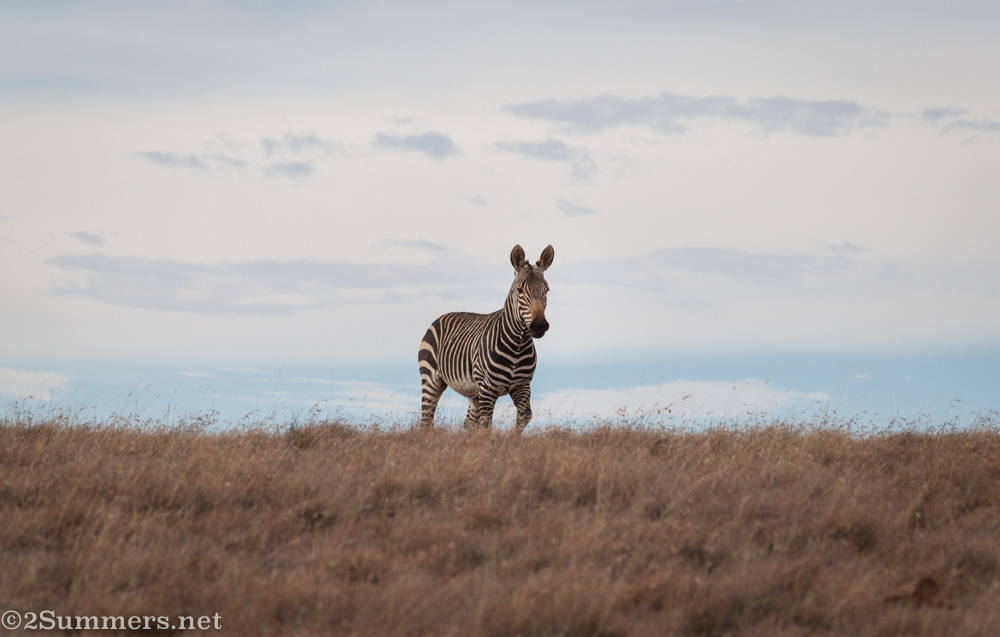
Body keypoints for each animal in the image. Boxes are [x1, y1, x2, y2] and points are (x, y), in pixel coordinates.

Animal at [418, 244, 555, 432]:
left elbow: (524, 416)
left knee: (468, 422)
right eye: (519, 290)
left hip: (473, 391)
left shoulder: (522, 385)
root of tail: (441, 317)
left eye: (546, 290)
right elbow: (486, 424)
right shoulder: (488, 389)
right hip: (431, 379)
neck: (517, 345)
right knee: (426, 420)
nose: (539, 325)